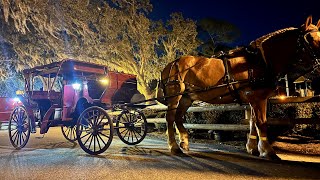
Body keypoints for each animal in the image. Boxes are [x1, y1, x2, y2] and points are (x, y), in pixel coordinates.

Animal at [158, 15, 320, 159]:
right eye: (310, 38)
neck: (260, 60)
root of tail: (171, 64)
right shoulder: (257, 98)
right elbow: (261, 123)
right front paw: (268, 151)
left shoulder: (255, 99)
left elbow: (253, 122)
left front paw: (253, 148)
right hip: (175, 96)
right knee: (170, 117)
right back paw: (174, 147)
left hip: (187, 97)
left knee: (178, 117)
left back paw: (184, 142)